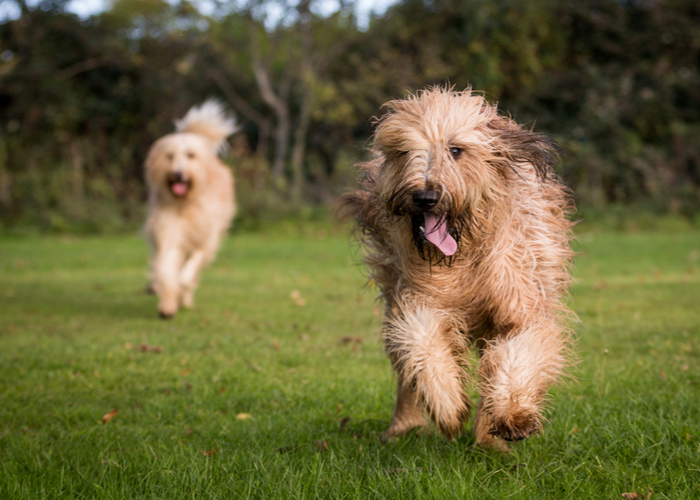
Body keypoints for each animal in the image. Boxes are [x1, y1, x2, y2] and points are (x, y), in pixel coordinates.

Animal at [145, 101, 238, 318]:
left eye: (190, 155)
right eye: (170, 156)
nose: (178, 174)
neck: (185, 204)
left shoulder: (205, 240)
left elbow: (188, 272)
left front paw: (181, 289)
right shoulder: (169, 232)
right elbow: (166, 268)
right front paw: (167, 304)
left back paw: (185, 299)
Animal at [340, 88, 576, 452]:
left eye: (455, 150)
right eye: (403, 151)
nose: (425, 196)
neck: (464, 257)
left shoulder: (521, 302)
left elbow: (517, 354)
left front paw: (512, 416)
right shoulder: (418, 300)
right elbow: (423, 345)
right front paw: (449, 407)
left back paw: (489, 438)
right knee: (405, 372)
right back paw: (402, 427)